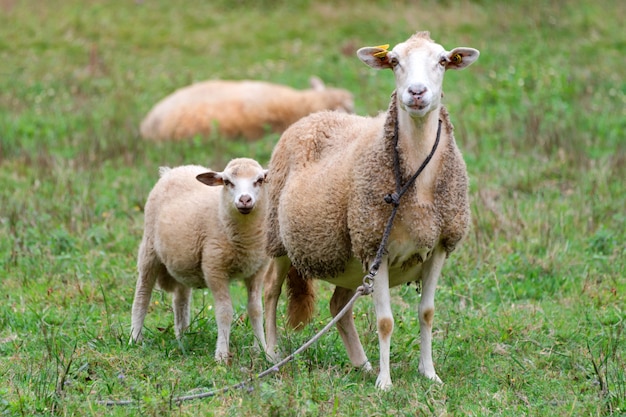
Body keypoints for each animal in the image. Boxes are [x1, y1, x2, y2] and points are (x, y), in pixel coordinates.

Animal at [129, 158, 268, 362]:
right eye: (227, 182)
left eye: (259, 180)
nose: (244, 200)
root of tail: (171, 171)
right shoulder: (214, 268)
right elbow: (224, 312)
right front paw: (221, 355)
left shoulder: (258, 270)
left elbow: (256, 310)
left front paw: (263, 352)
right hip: (149, 249)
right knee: (142, 295)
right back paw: (135, 338)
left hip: (182, 260)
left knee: (180, 299)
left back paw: (182, 336)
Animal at [262, 30, 478, 388]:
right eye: (394, 61)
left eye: (442, 60)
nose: (416, 92)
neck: (417, 182)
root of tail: (314, 116)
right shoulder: (379, 247)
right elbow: (385, 321)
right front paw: (385, 383)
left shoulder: (439, 247)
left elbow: (427, 313)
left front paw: (429, 374)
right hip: (278, 238)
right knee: (269, 292)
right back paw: (271, 354)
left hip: (349, 259)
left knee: (338, 305)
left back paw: (361, 364)